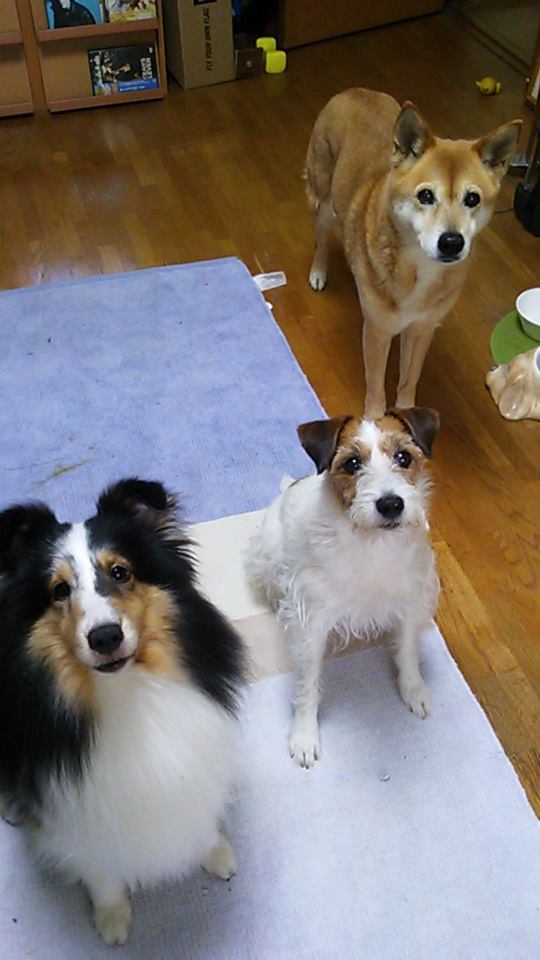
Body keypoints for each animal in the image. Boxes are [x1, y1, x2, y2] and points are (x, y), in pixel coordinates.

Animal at [0, 479, 244, 944]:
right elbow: (99, 869)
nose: (105, 637)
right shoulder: (77, 813)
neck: (127, 694)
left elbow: (202, 813)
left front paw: (216, 854)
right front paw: (112, 918)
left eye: (120, 572)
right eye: (59, 590)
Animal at [247, 408, 440, 768]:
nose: (390, 504)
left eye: (404, 457)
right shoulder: (312, 622)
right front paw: (304, 736)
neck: (372, 542)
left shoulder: (410, 601)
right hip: (267, 557)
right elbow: (308, 682)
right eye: (352, 464)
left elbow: (407, 652)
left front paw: (414, 690)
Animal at [305, 88, 522, 419]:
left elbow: (409, 378)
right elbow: (376, 387)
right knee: (321, 234)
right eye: (425, 195)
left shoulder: (422, 329)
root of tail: (357, 91)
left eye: (472, 199)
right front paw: (375, 420)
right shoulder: (378, 332)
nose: (452, 241)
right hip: (325, 197)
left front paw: (408, 414)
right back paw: (319, 272)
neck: (419, 268)